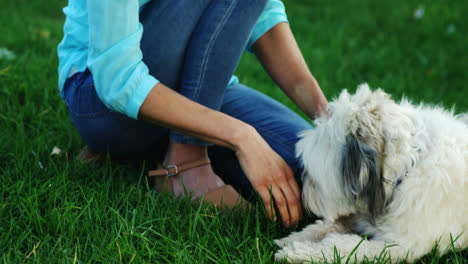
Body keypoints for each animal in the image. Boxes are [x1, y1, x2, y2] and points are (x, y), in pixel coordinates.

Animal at [276, 85, 466, 262]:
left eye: (312, 176)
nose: (303, 194)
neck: (408, 167)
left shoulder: (400, 246)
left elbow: (342, 246)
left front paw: (297, 252)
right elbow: (327, 226)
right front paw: (292, 238)